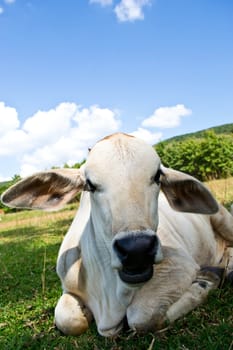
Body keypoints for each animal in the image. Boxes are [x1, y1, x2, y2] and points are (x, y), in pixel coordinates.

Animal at [0, 133, 232, 338]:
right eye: (90, 185)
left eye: (157, 176)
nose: (137, 249)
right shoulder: (67, 287)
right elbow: (69, 320)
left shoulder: (180, 266)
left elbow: (142, 317)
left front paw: (205, 281)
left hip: (223, 217)